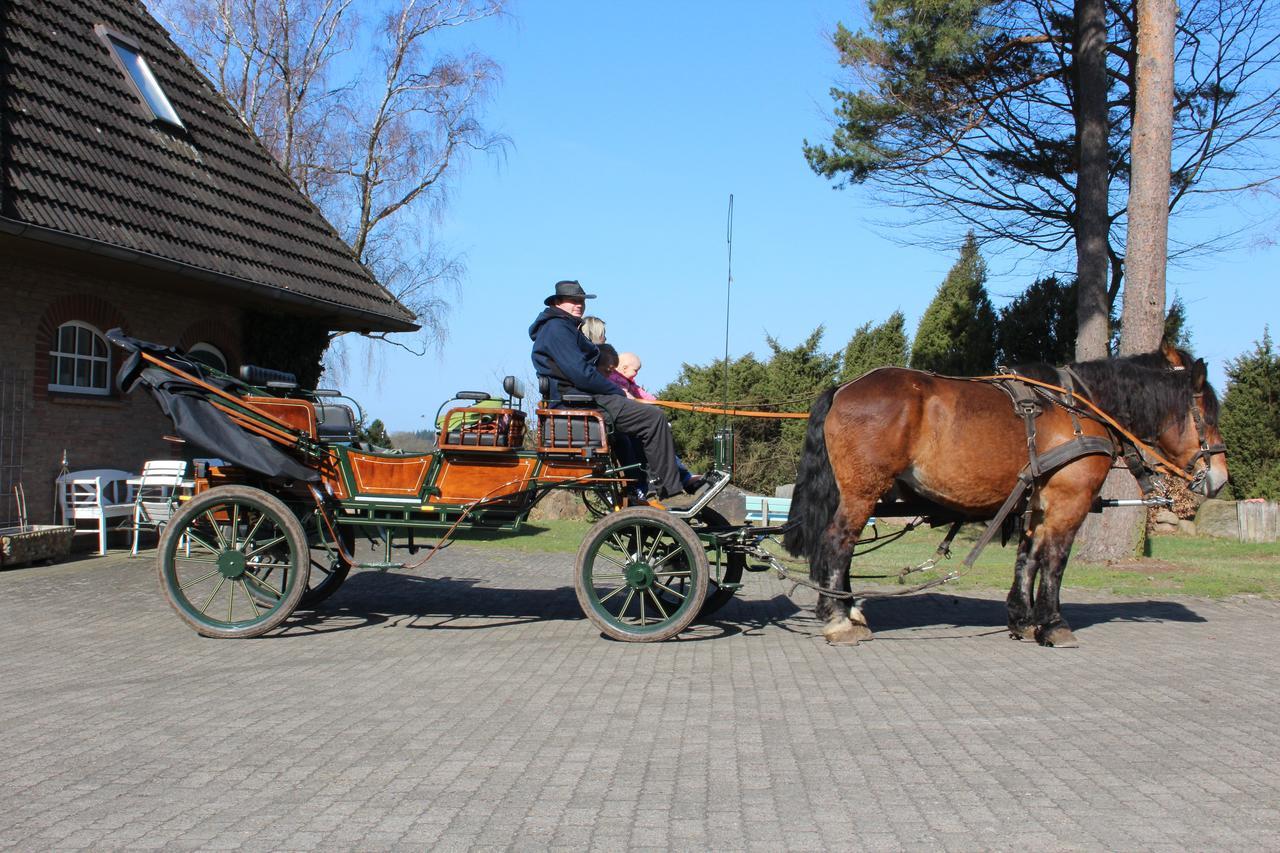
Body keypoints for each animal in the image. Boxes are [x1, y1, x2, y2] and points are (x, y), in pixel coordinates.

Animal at [778, 343, 1228, 645]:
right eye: (1207, 413)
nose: (1220, 477)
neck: (1081, 409)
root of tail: (843, 388)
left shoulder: (1036, 501)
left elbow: (1028, 558)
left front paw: (1024, 620)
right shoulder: (1069, 502)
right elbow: (1055, 561)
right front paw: (1054, 624)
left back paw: (849, 609)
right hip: (862, 491)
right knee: (838, 543)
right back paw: (838, 617)